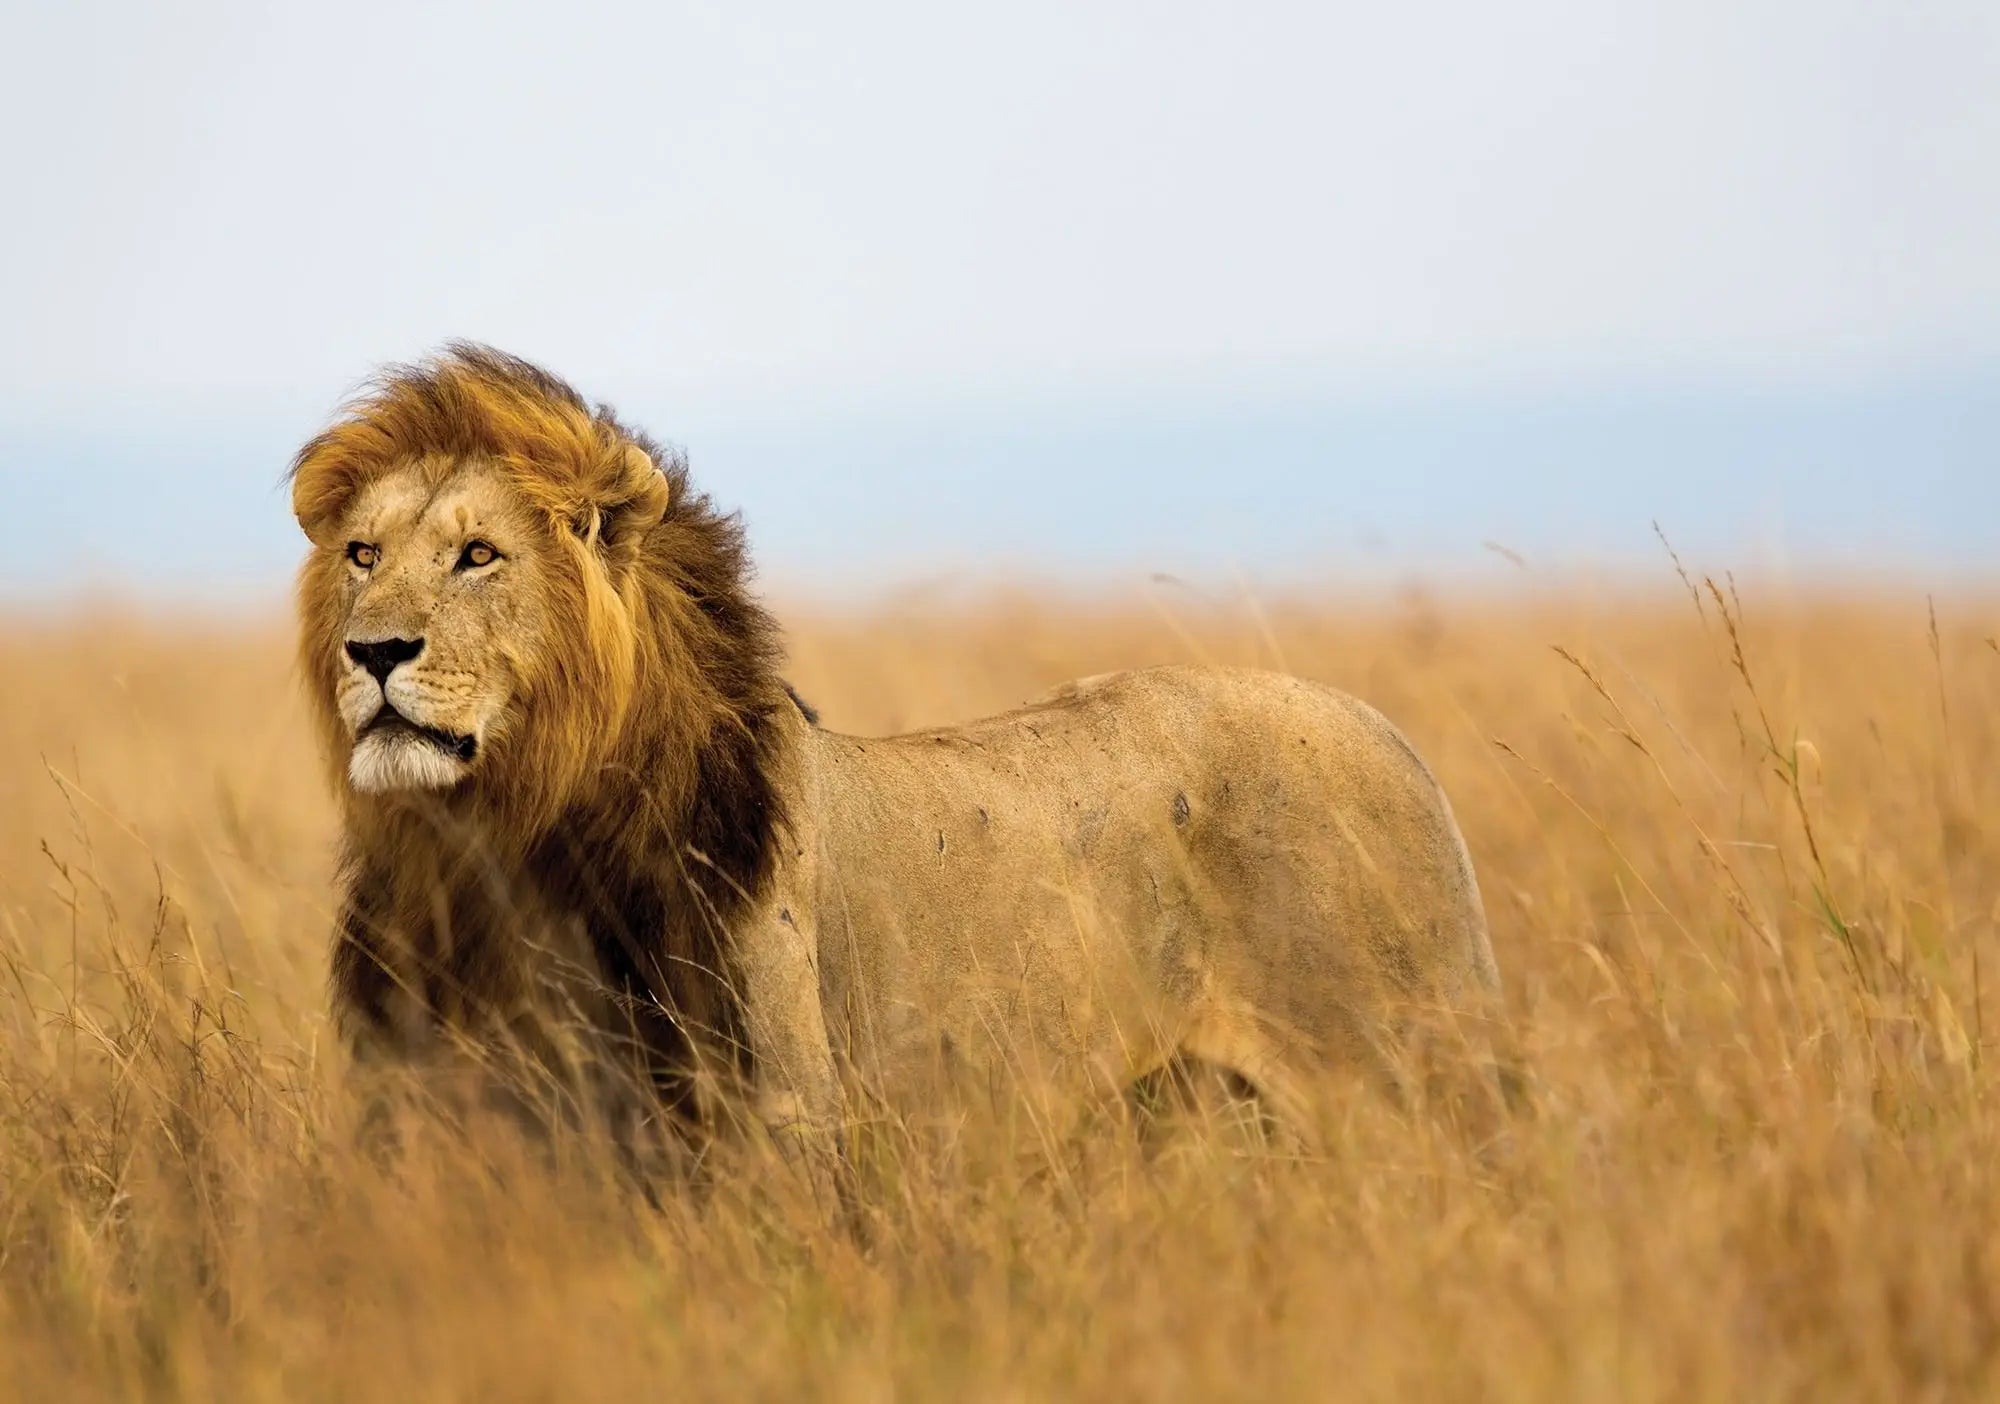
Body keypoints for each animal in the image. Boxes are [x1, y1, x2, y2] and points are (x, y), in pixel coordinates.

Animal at [286, 346, 1504, 1168]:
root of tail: (1390, 734)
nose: (373, 650)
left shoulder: (776, 1128)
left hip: (1407, 1083)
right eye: (363, 555)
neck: (499, 845)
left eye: (478, 556)